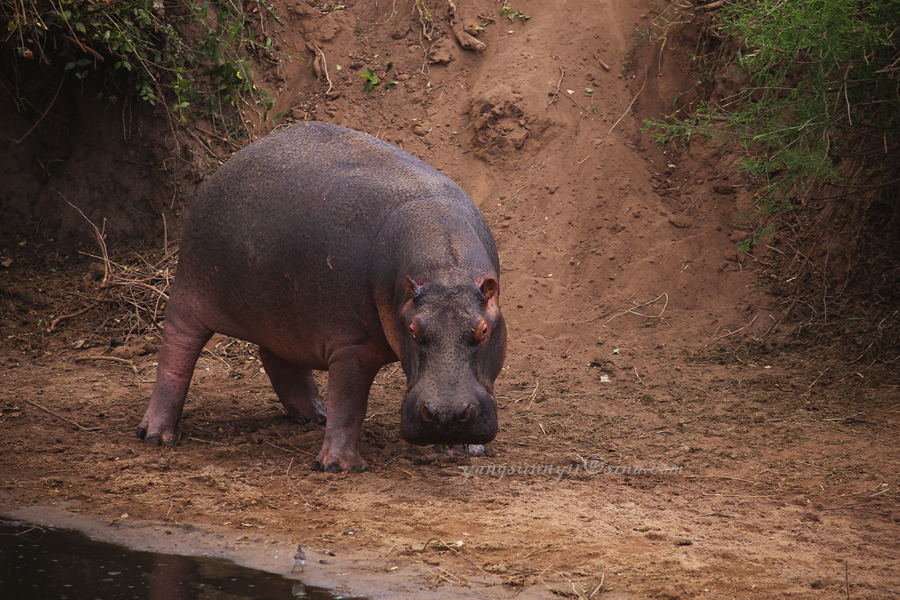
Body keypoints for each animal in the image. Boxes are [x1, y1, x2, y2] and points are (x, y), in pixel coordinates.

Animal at [140, 119, 506, 472]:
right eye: (414, 331)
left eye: (484, 330)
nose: (445, 416)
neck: (444, 264)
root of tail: (232, 160)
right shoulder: (351, 345)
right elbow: (349, 402)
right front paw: (339, 466)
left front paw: (467, 450)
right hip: (192, 293)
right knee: (177, 351)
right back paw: (157, 435)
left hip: (283, 313)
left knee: (275, 357)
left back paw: (315, 415)